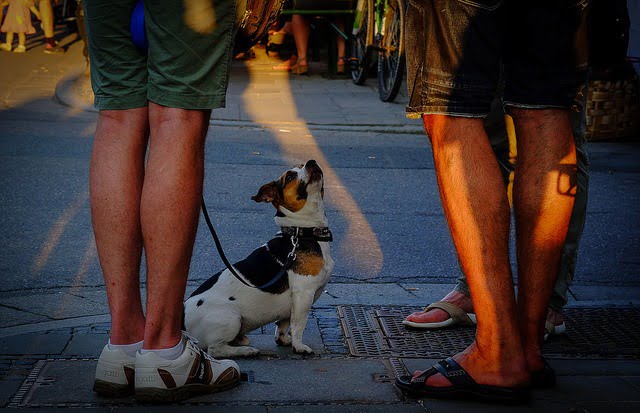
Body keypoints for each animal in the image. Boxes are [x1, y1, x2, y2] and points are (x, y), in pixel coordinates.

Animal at [184, 159, 336, 356]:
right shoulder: (303, 294)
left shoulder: (292, 303)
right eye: (289, 177)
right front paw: (299, 346)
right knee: (215, 350)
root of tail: (182, 320)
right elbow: (298, 325)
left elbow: (283, 324)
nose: (312, 161)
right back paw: (246, 351)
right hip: (230, 317)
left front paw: (284, 341)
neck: (301, 232)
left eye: (303, 164)